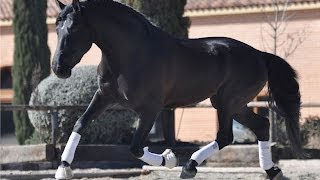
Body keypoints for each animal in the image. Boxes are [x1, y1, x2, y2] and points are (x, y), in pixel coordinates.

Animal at [51, 0, 304, 179]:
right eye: (57, 27)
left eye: (74, 27)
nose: (58, 68)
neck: (131, 54)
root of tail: (260, 55)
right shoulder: (103, 96)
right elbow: (80, 124)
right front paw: (63, 168)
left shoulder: (151, 109)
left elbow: (135, 147)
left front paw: (169, 159)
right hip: (235, 105)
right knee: (261, 125)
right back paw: (272, 171)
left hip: (226, 102)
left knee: (226, 136)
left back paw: (189, 167)